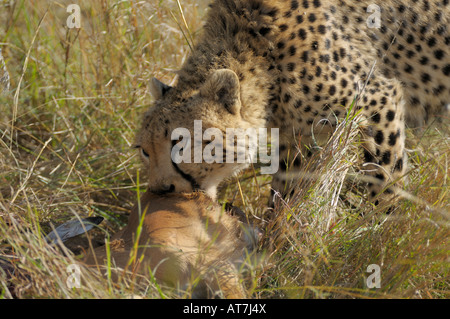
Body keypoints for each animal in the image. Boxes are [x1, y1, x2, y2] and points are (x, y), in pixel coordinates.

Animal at [135, 0, 448, 208]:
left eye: (180, 143)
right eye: (144, 151)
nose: (161, 190)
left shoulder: (379, 100)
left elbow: (384, 182)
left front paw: (377, 238)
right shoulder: (297, 137)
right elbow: (287, 190)